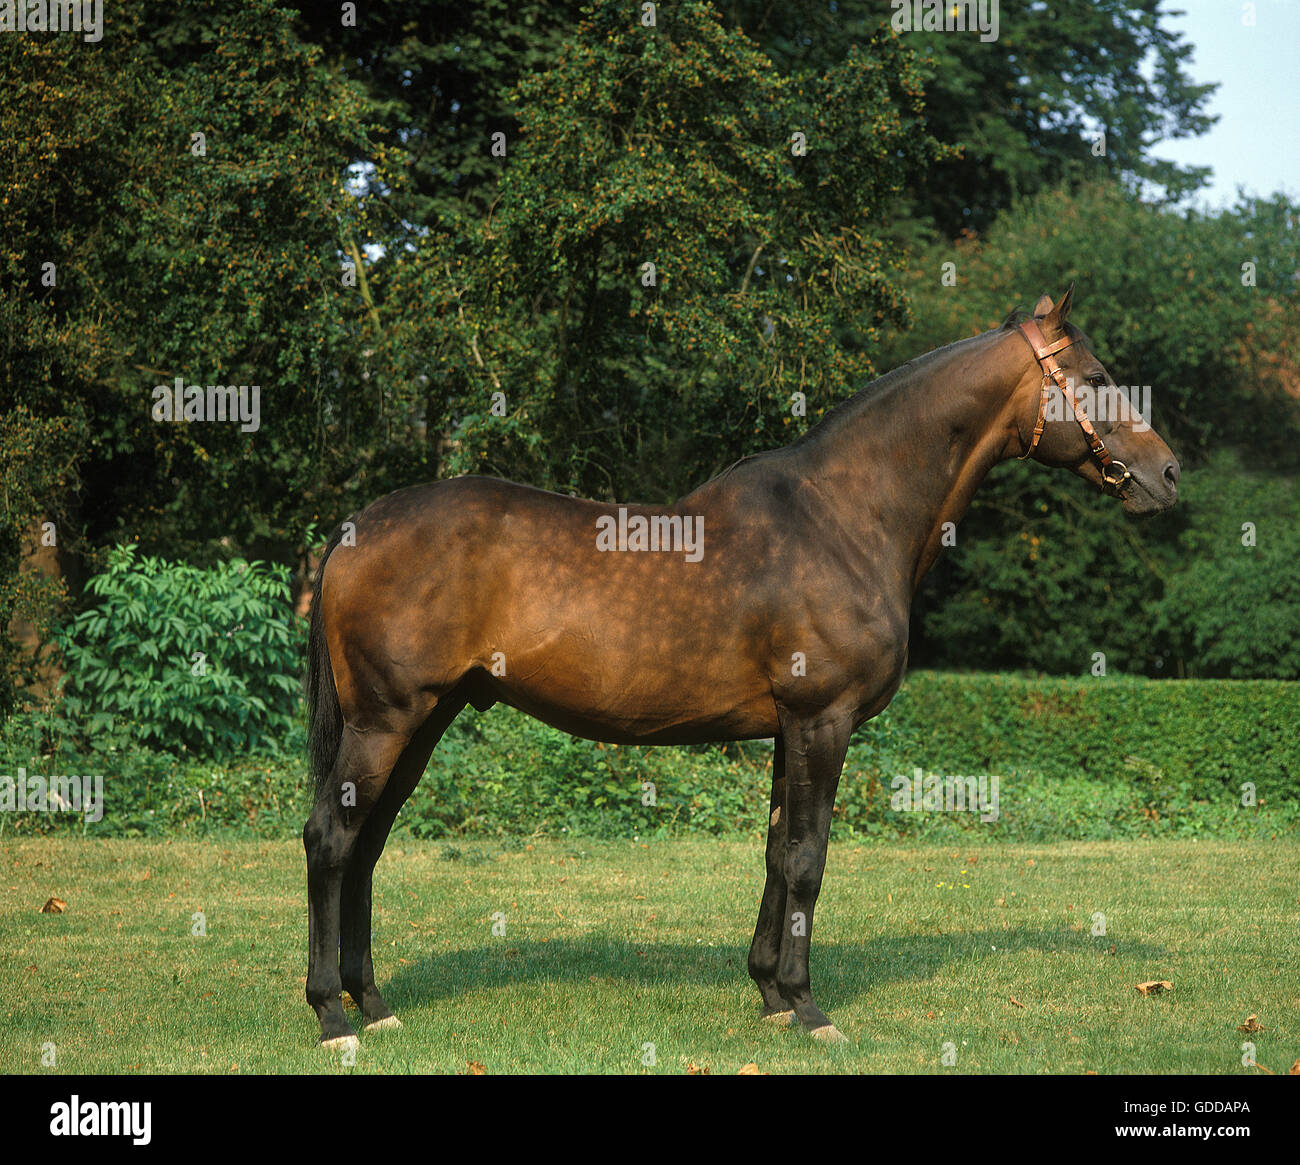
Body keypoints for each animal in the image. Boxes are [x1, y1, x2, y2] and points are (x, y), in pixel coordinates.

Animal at [301, 288, 1180, 1045]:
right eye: (1098, 379)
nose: (1168, 476)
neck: (844, 515)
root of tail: (354, 530)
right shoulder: (823, 720)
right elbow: (807, 858)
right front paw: (810, 1007)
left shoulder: (789, 728)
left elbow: (775, 852)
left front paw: (767, 993)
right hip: (386, 721)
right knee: (330, 840)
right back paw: (333, 1016)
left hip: (425, 719)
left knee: (368, 844)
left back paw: (374, 1003)